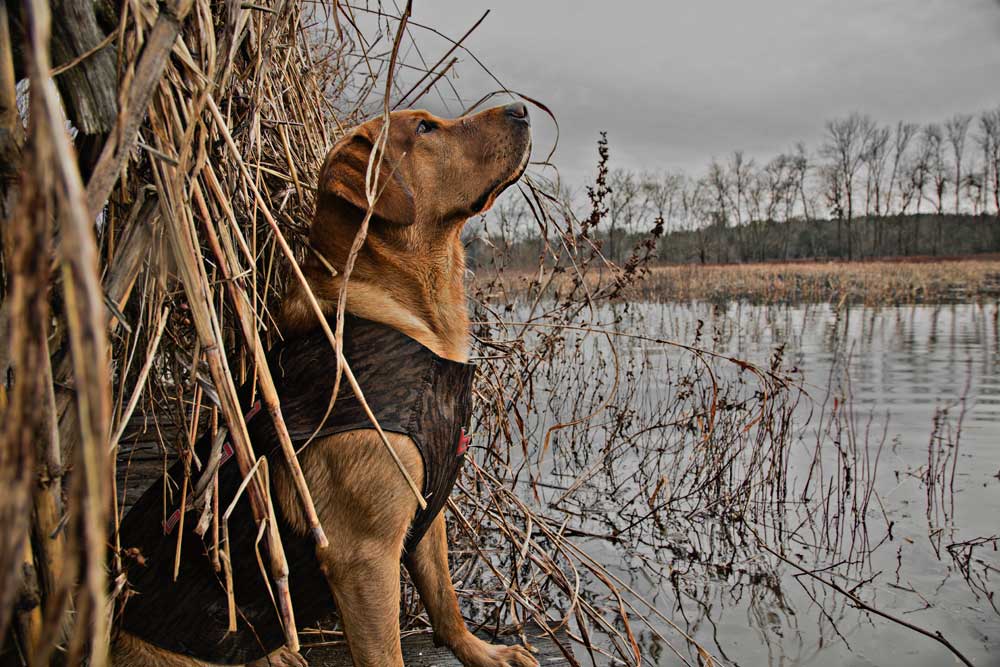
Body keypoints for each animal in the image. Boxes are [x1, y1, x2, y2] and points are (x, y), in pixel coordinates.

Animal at [112, 100, 540, 667]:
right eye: (425, 127)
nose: (521, 109)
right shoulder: (364, 556)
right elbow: (387, 654)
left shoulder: (426, 511)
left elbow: (444, 599)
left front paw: (481, 652)